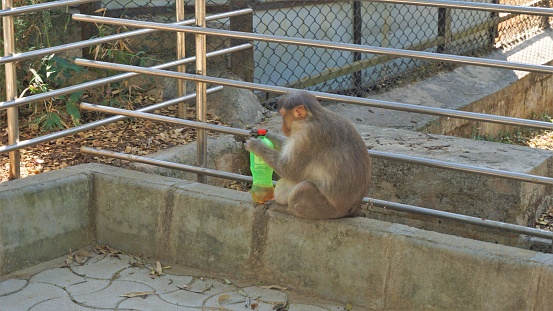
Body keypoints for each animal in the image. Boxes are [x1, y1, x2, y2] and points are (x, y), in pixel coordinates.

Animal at [246, 91, 370, 221]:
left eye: (283, 115)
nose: (282, 127)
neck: (310, 119)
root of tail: (354, 208)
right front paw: (262, 134)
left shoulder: (307, 137)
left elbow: (288, 170)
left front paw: (255, 145)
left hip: (331, 211)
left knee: (302, 189)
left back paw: (285, 209)